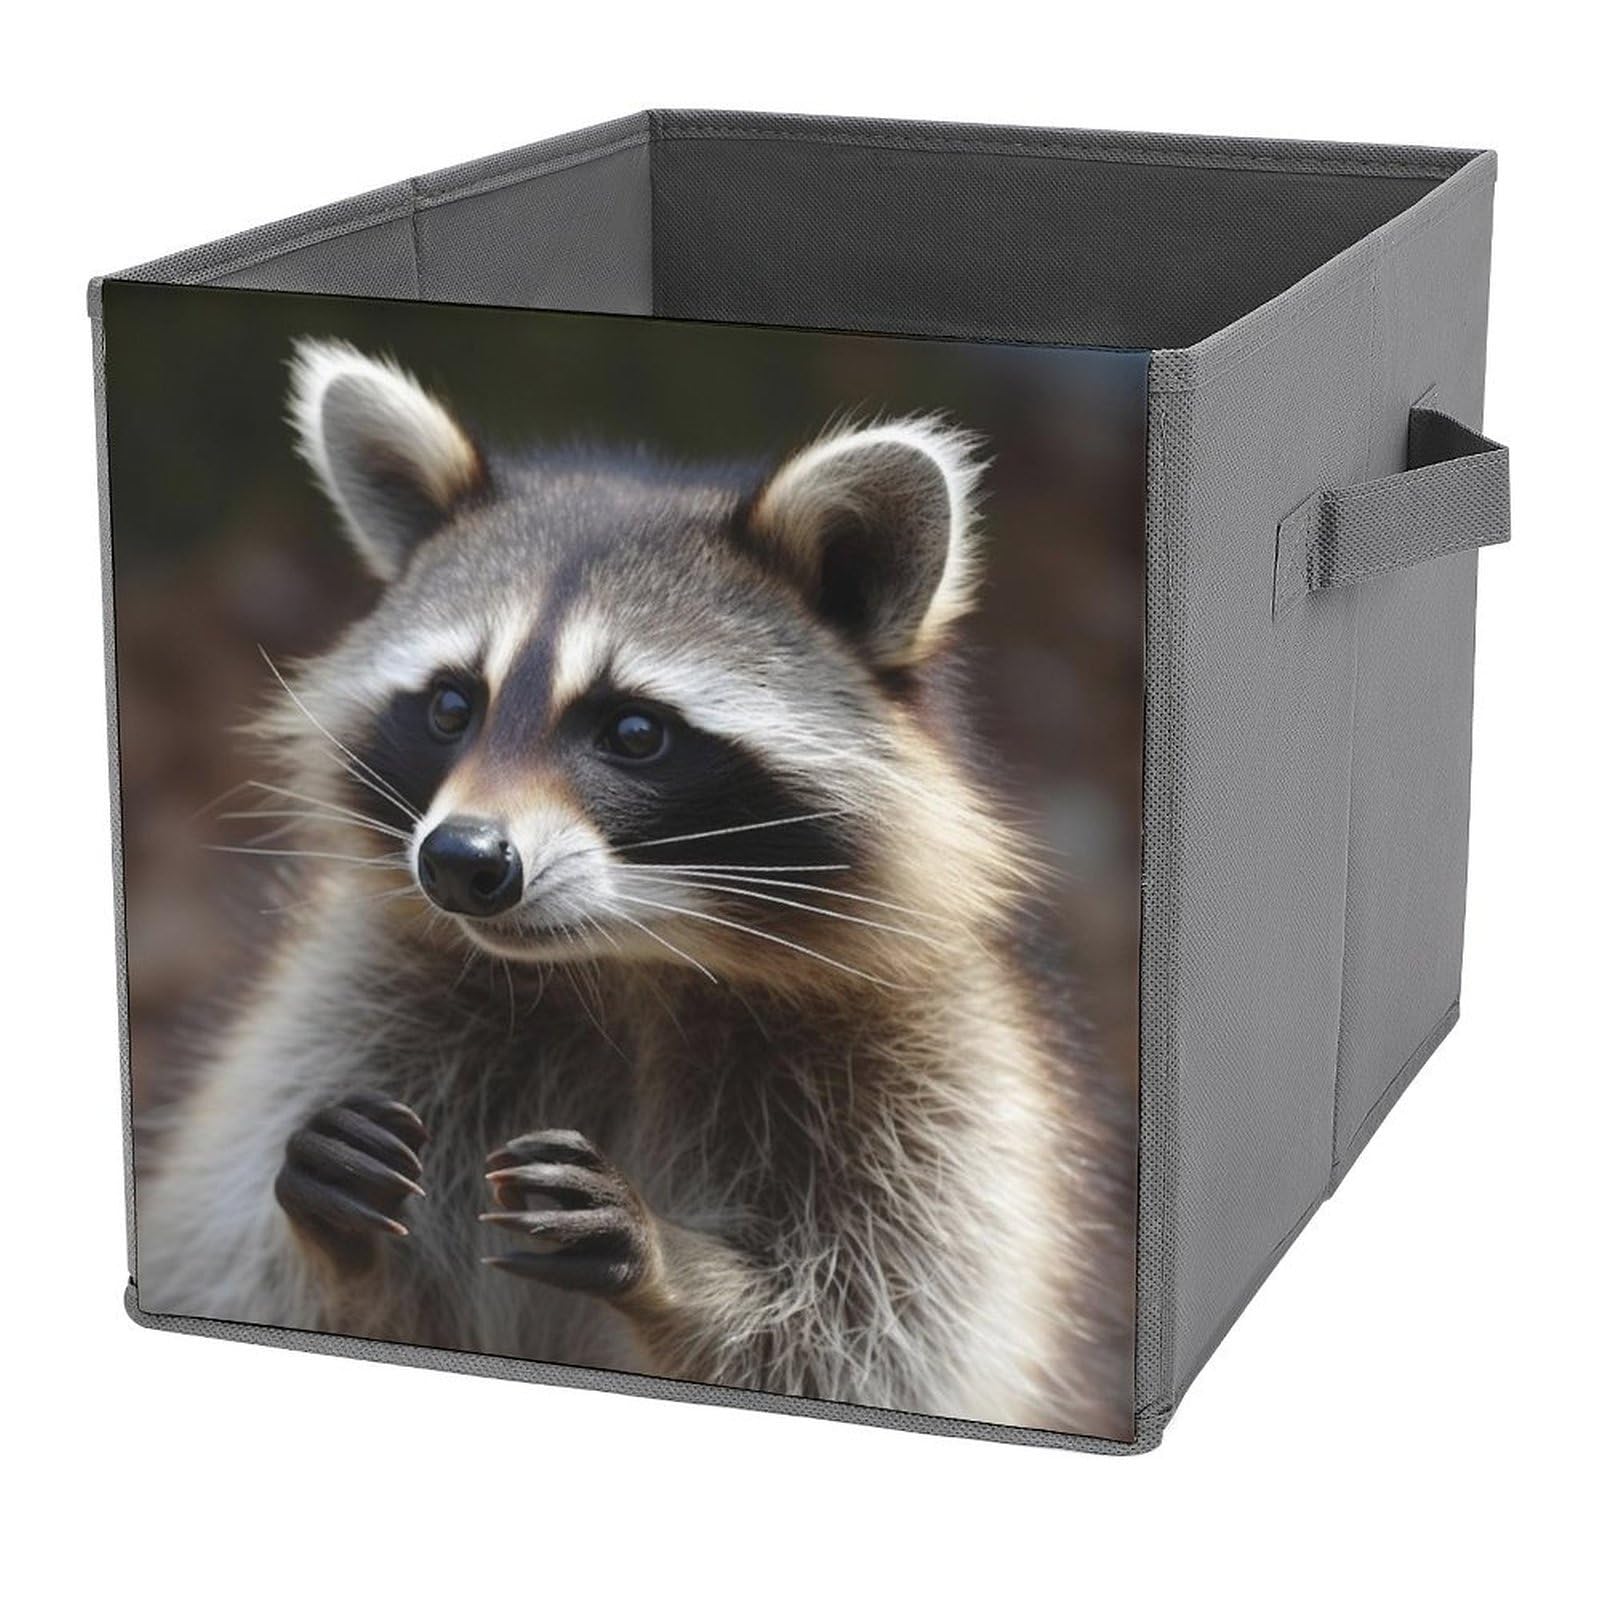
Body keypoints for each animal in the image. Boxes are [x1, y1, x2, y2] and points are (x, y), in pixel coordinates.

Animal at [137, 340, 1131, 1436]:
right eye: (450, 707)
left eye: (635, 731)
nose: (461, 860)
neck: (626, 961)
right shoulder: (357, 1001)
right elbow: (251, 1256)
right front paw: (340, 1247)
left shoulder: (934, 1083)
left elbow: (870, 1335)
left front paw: (680, 1272)